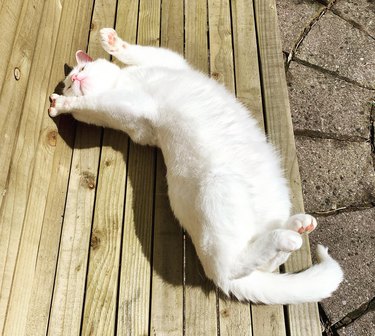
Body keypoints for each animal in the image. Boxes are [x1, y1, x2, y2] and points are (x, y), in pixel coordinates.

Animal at [49, 26, 344, 304]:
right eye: (69, 84)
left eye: (82, 69)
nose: (76, 79)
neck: (125, 82)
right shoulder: (123, 111)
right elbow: (89, 105)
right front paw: (62, 104)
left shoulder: (169, 62)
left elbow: (136, 52)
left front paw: (111, 41)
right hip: (218, 191)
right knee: (231, 266)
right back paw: (288, 236)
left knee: (264, 261)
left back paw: (296, 227)